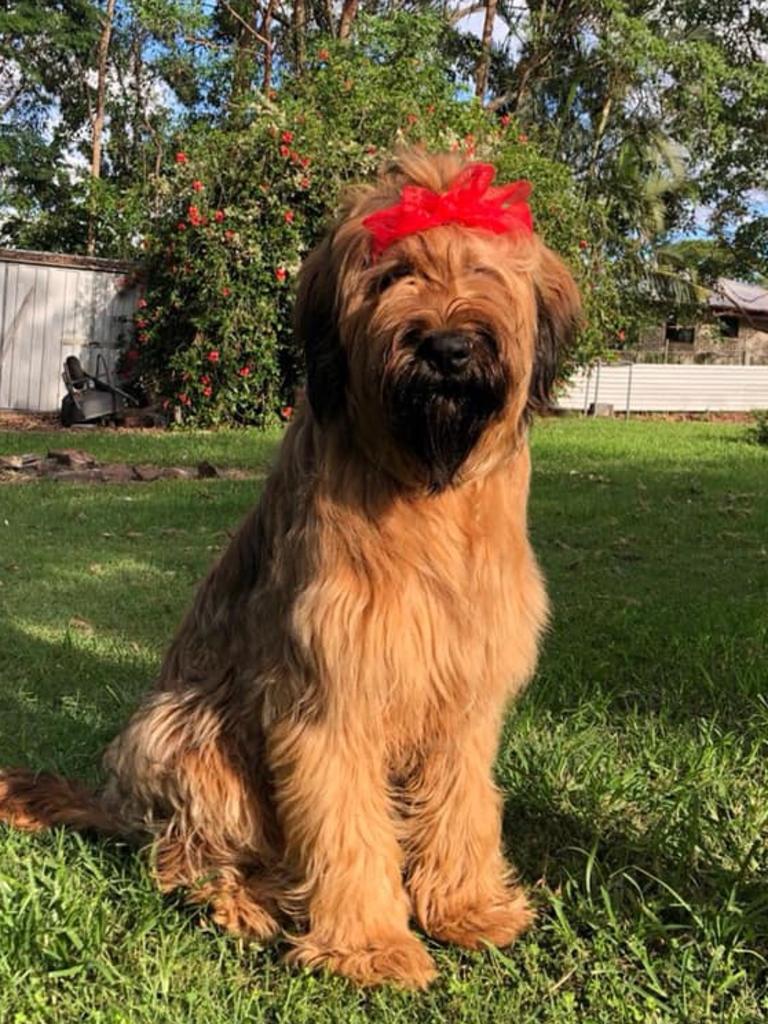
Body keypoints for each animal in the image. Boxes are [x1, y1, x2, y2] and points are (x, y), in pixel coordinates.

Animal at [0, 148, 577, 987]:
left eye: (480, 269)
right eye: (394, 274)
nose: (447, 348)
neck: (426, 486)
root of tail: (112, 800)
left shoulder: (463, 690)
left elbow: (463, 806)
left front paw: (467, 907)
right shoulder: (331, 688)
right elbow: (345, 827)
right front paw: (370, 945)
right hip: (181, 731)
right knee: (181, 857)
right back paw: (245, 900)